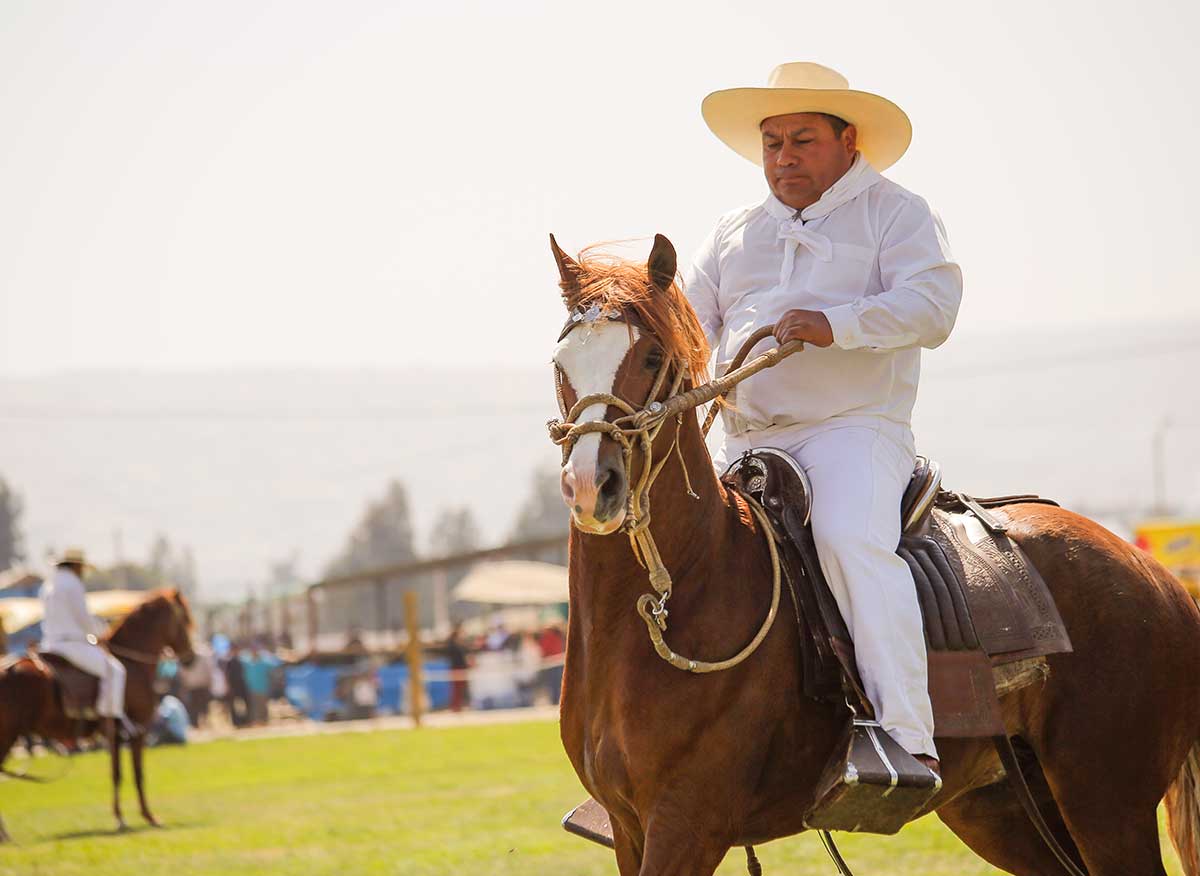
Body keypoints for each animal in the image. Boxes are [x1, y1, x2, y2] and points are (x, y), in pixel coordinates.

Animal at [0, 588, 195, 840]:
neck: (131, 664)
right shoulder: (137, 730)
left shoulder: (116, 734)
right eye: (184, 619)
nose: (191, 657)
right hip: (8, 734)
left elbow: (118, 772)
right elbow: (135, 774)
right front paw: (144, 817)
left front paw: (123, 817)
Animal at [549, 234, 1200, 873]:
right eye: (561, 364)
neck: (684, 587)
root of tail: (1160, 579)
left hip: (1105, 802)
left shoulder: (686, 823)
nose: (592, 485)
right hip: (1000, 808)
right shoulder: (631, 828)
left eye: (652, 357)